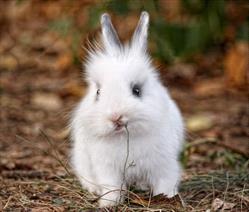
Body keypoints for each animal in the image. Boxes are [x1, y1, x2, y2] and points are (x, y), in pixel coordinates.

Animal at [70, 11, 185, 207]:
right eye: (98, 92)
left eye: (136, 90)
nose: (115, 117)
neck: (125, 137)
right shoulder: (107, 169)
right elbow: (112, 187)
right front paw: (108, 203)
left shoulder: (164, 165)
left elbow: (165, 182)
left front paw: (167, 197)